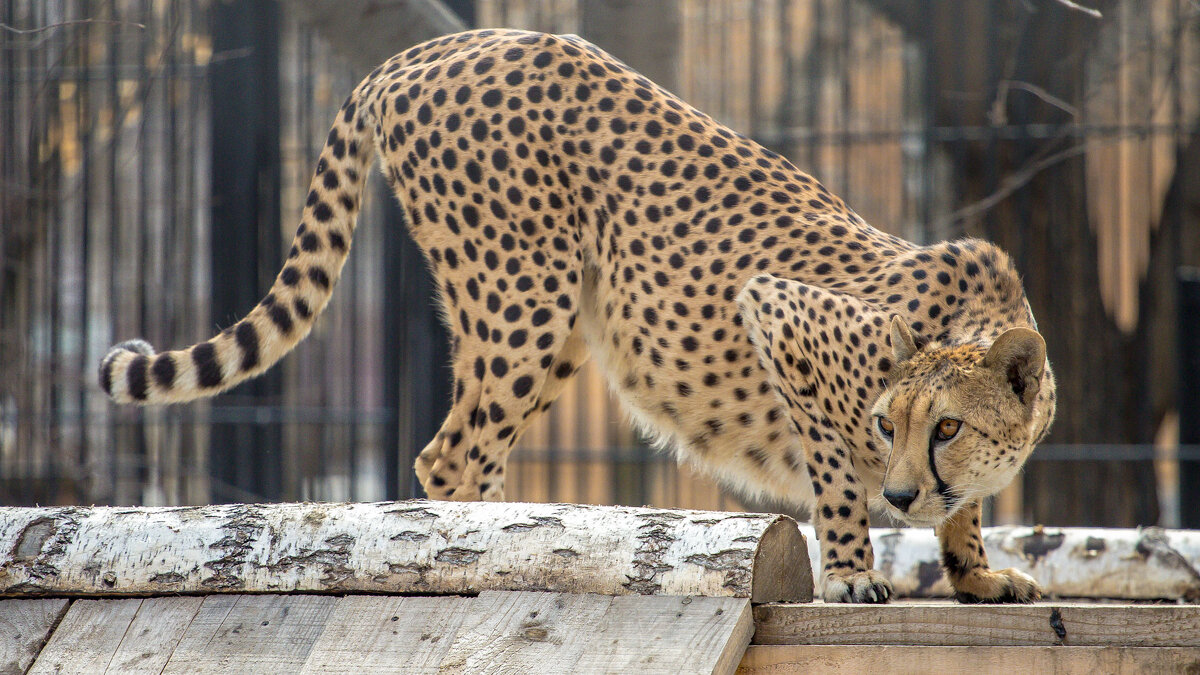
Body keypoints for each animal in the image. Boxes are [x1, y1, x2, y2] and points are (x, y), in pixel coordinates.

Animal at [103, 28, 1060, 600]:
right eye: (887, 421)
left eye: (946, 427)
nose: (900, 491)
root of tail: (432, 47)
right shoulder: (780, 316)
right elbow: (829, 466)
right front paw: (855, 572)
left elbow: (964, 510)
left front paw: (979, 576)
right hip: (527, 295)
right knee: (451, 452)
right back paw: (485, 550)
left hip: (561, 321)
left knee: (465, 446)